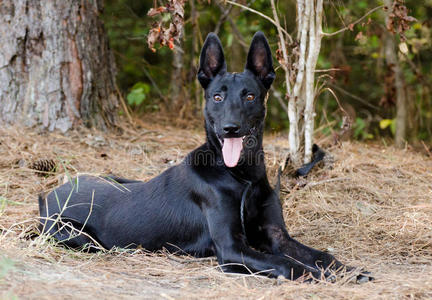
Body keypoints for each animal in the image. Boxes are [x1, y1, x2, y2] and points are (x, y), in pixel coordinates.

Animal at [39, 32, 368, 282]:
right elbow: (287, 263)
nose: (230, 128)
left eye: (250, 96)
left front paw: (349, 270)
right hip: (75, 234)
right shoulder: (232, 249)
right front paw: (326, 276)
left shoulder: (278, 236)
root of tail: (48, 195)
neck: (241, 176)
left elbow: (320, 255)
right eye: (217, 97)